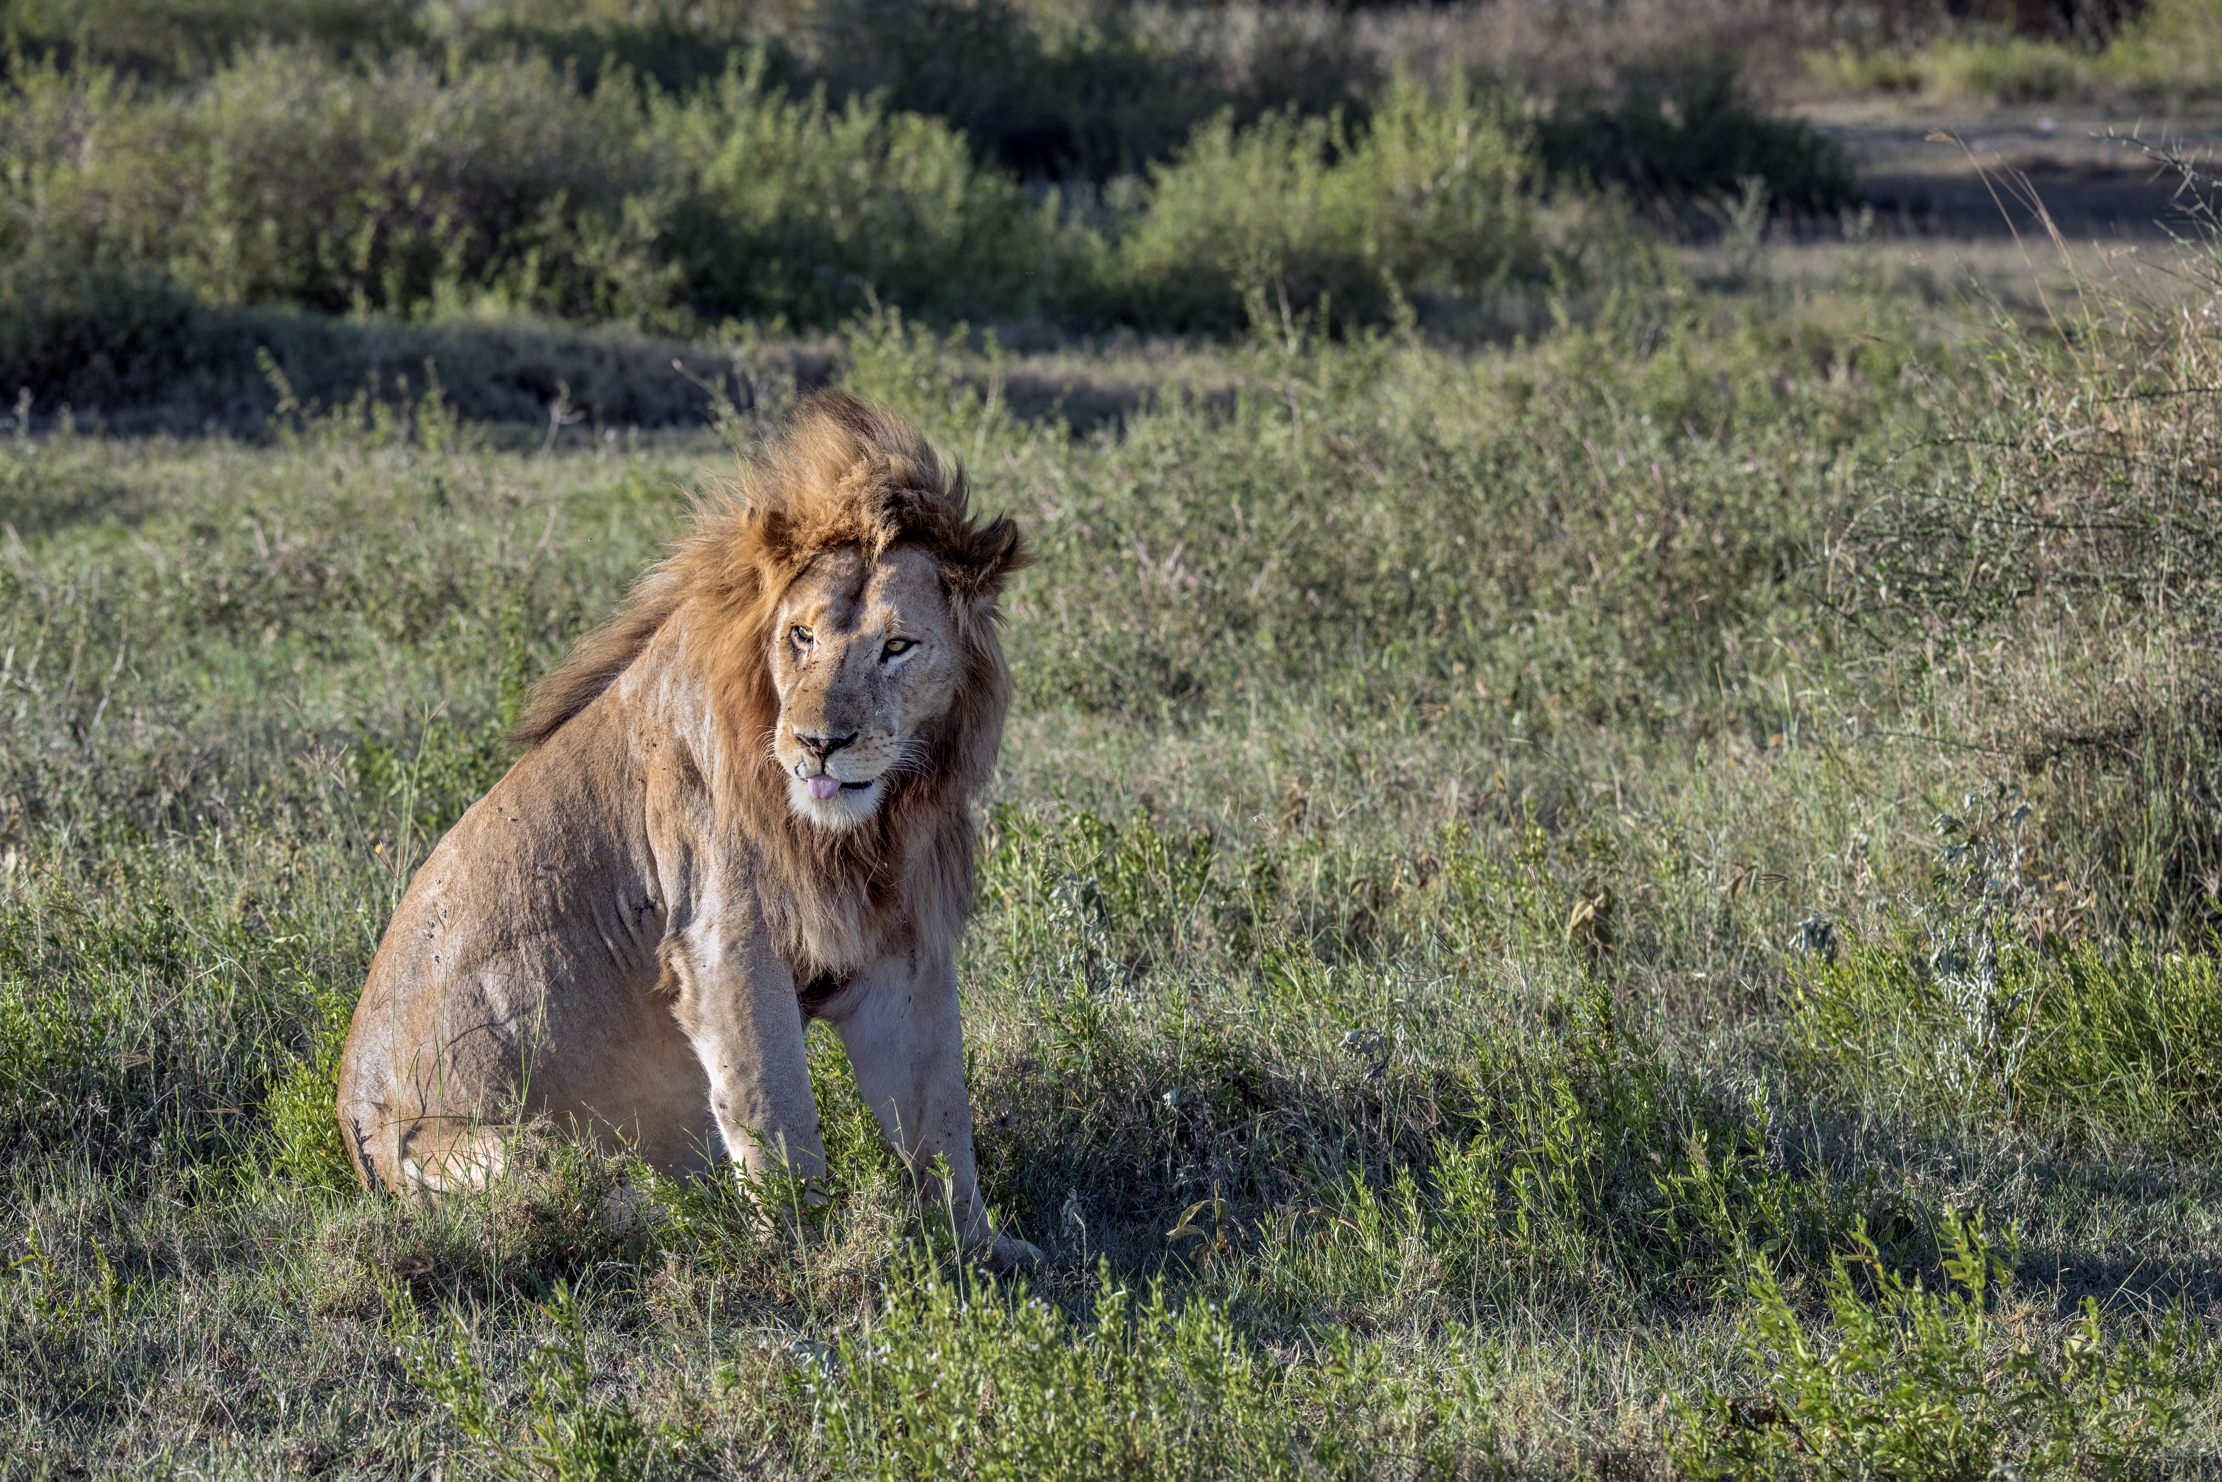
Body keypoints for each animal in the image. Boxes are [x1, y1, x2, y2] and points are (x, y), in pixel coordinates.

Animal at [334, 390, 1040, 1268]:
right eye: (801, 636)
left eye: (899, 646)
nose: (818, 743)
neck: (863, 831)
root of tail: (357, 1145)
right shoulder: (721, 935)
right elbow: (779, 1117)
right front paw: (806, 1262)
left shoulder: (902, 946)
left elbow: (941, 1116)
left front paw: (982, 1251)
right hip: (529, 1158)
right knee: (623, 1202)